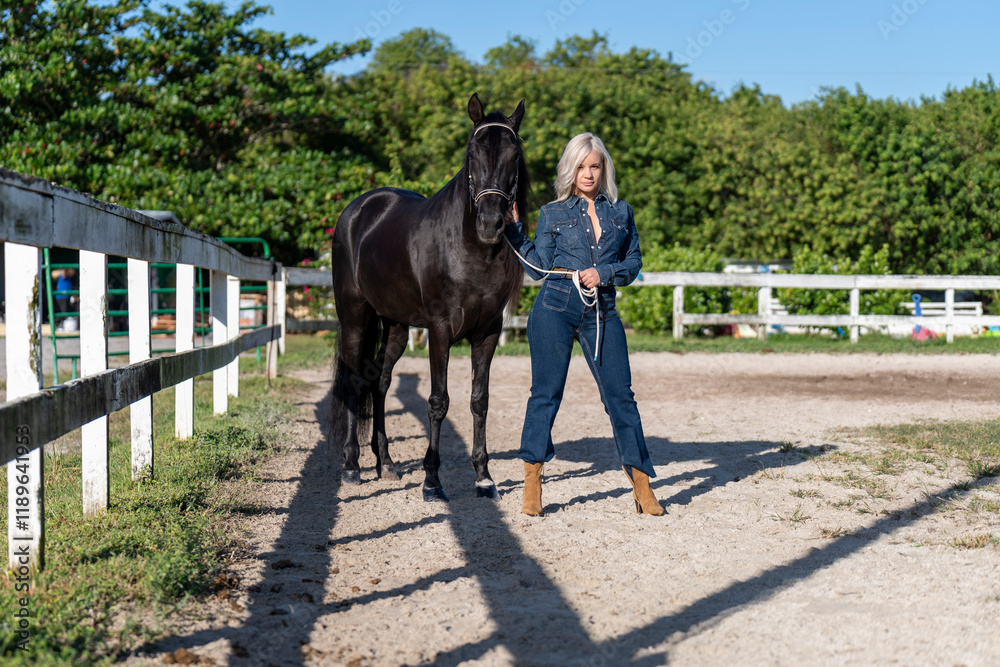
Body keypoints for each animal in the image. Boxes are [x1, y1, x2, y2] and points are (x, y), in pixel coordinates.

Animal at [330, 94, 532, 500]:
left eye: (514, 155)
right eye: (472, 153)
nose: (491, 224)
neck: (471, 249)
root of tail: (356, 212)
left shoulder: (488, 334)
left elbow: (479, 401)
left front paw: (484, 477)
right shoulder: (440, 331)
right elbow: (439, 402)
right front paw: (432, 481)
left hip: (395, 326)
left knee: (379, 383)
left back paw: (386, 463)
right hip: (355, 318)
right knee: (354, 382)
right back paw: (351, 465)